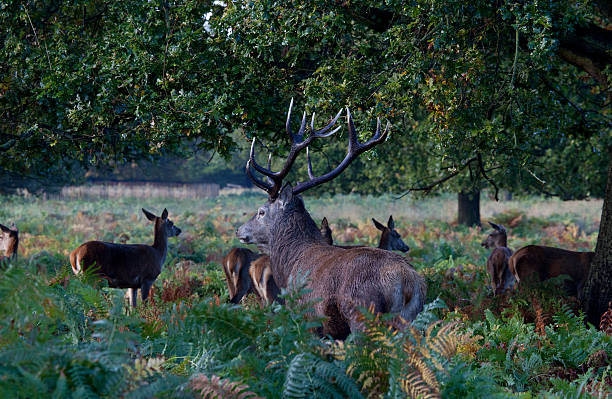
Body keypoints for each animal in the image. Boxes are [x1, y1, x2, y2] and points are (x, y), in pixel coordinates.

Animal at [238, 101, 426, 340]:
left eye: (261, 211)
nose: (239, 230)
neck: (289, 265)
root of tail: (408, 282)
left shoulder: (308, 317)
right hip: (410, 319)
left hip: (362, 313)